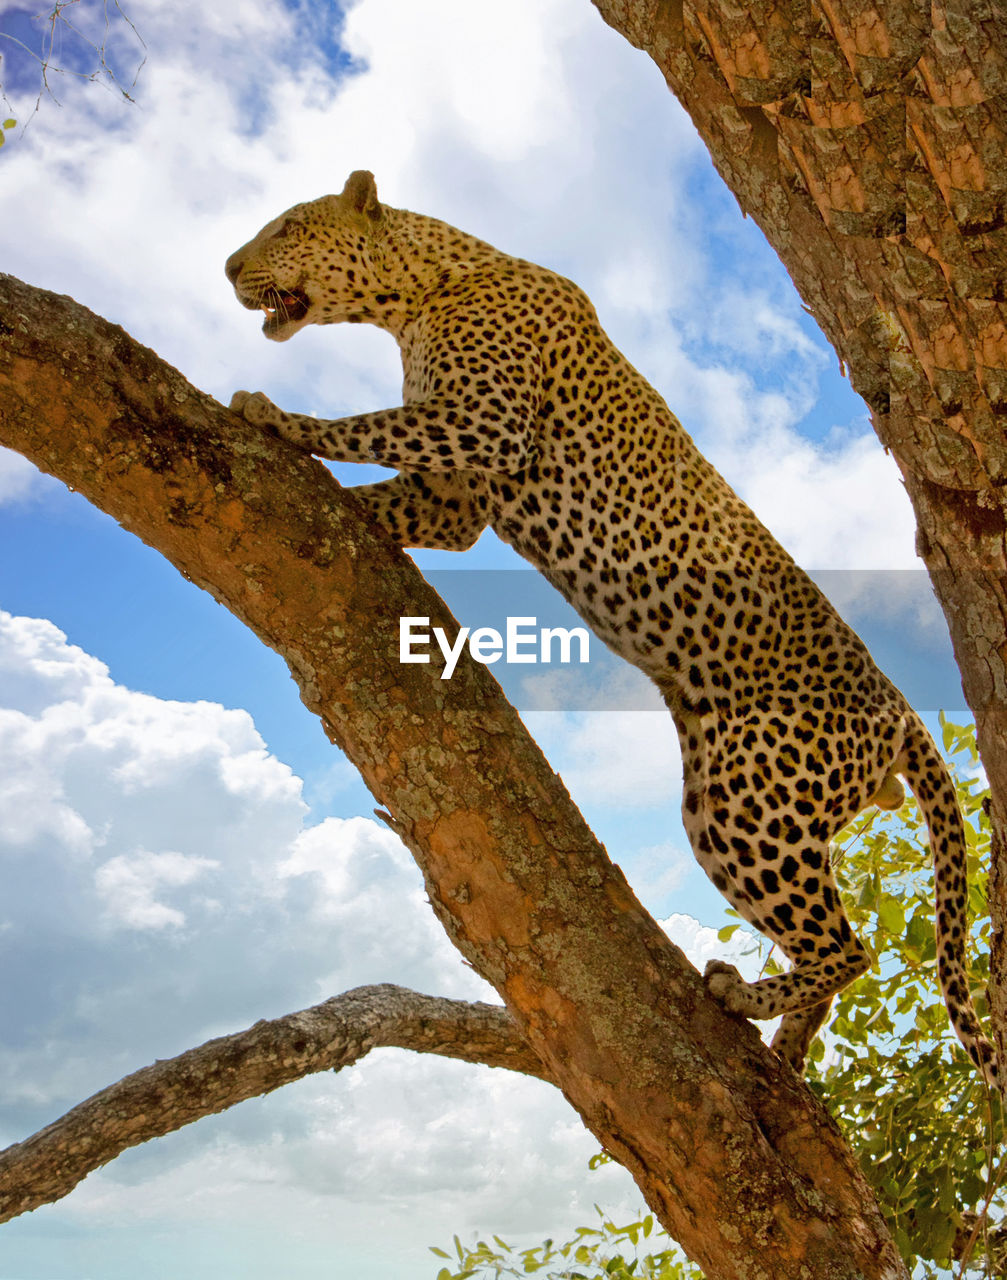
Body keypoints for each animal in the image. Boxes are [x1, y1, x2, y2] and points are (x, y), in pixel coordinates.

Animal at [223, 170, 998, 1085]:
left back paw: (742, 1000)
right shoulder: (453, 496)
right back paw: (781, 1042)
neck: (414, 297)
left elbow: (364, 423)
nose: (228, 266)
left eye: (288, 226)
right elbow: (386, 487)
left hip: (749, 800)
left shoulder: (484, 422)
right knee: (829, 950)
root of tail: (901, 710)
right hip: (743, 808)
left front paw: (274, 416)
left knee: (848, 949)